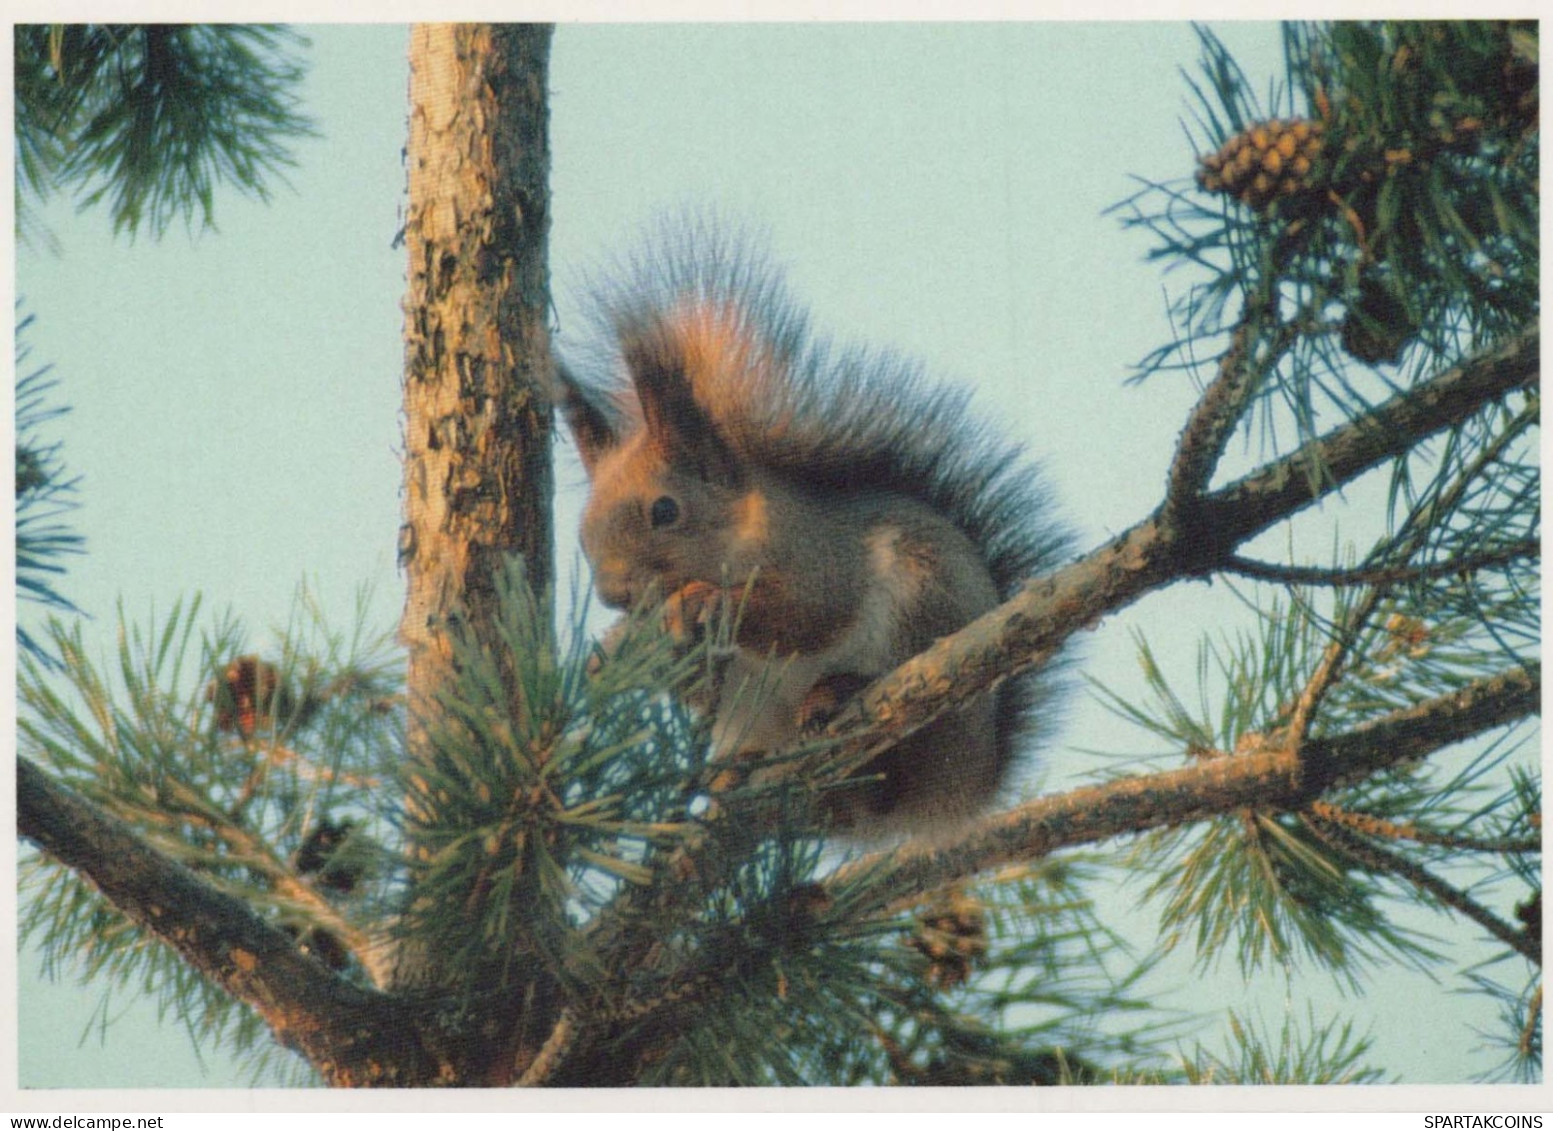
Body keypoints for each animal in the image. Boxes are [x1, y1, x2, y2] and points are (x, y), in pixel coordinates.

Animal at [552, 225, 1074, 832]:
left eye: (665, 511)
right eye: (582, 532)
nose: (614, 595)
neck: (740, 530)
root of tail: (967, 788)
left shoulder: (818, 553)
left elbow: (808, 613)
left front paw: (705, 599)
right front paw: (614, 653)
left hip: (925, 604)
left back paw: (836, 692)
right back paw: (736, 773)